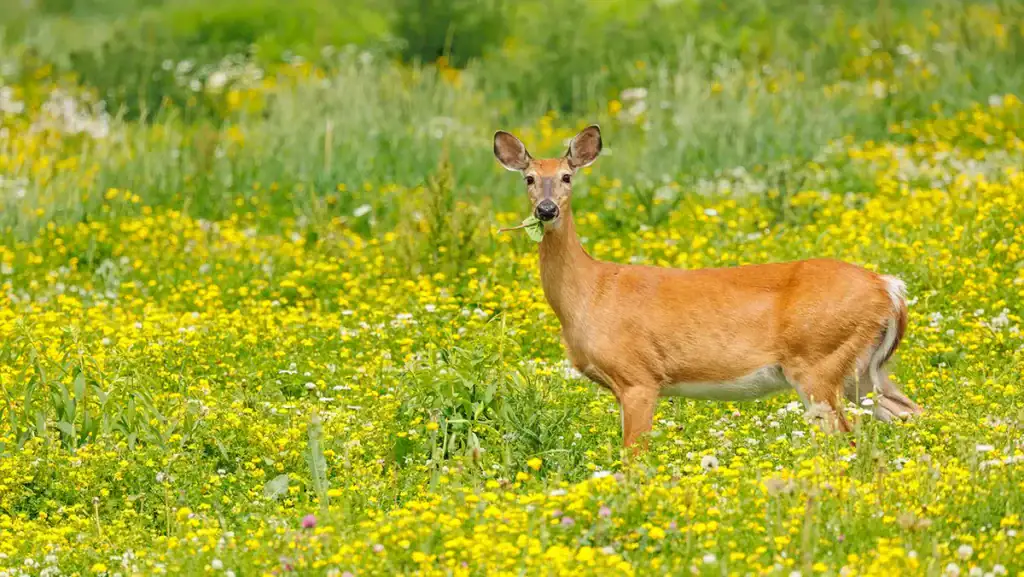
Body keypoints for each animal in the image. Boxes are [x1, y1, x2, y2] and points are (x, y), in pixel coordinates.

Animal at [493, 125, 923, 448]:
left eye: (567, 177)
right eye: (529, 179)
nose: (546, 209)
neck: (590, 291)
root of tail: (889, 287)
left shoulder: (639, 377)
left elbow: (633, 459)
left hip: (819, 359)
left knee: (845, 436)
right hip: (864, 371)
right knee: (911, 412)